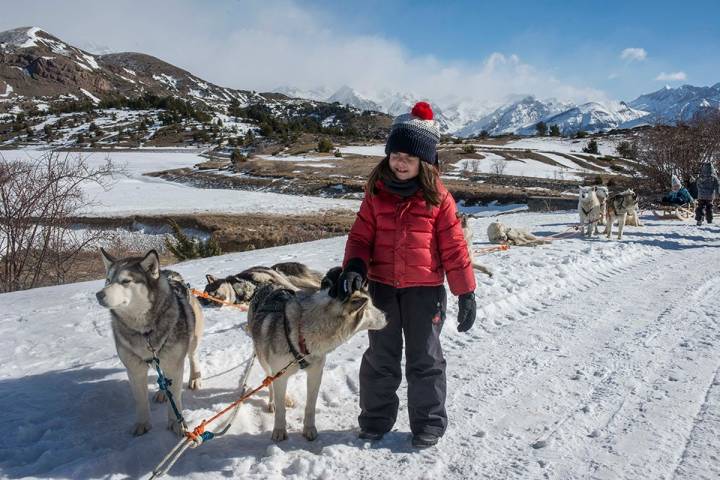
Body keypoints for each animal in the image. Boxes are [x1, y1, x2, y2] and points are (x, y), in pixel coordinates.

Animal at [95, 249, 202, 436]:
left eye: (126, 281)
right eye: (108, 280)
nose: (98, 294)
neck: (144, 331)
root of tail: (172, 275)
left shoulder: (174, 365)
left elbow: (175, 398)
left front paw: (176, 423)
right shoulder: (134, 370)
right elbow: (140, 400)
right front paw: (142, 423)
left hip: (192, 340)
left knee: (192, 356)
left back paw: (194, 378)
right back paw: (162, 392)